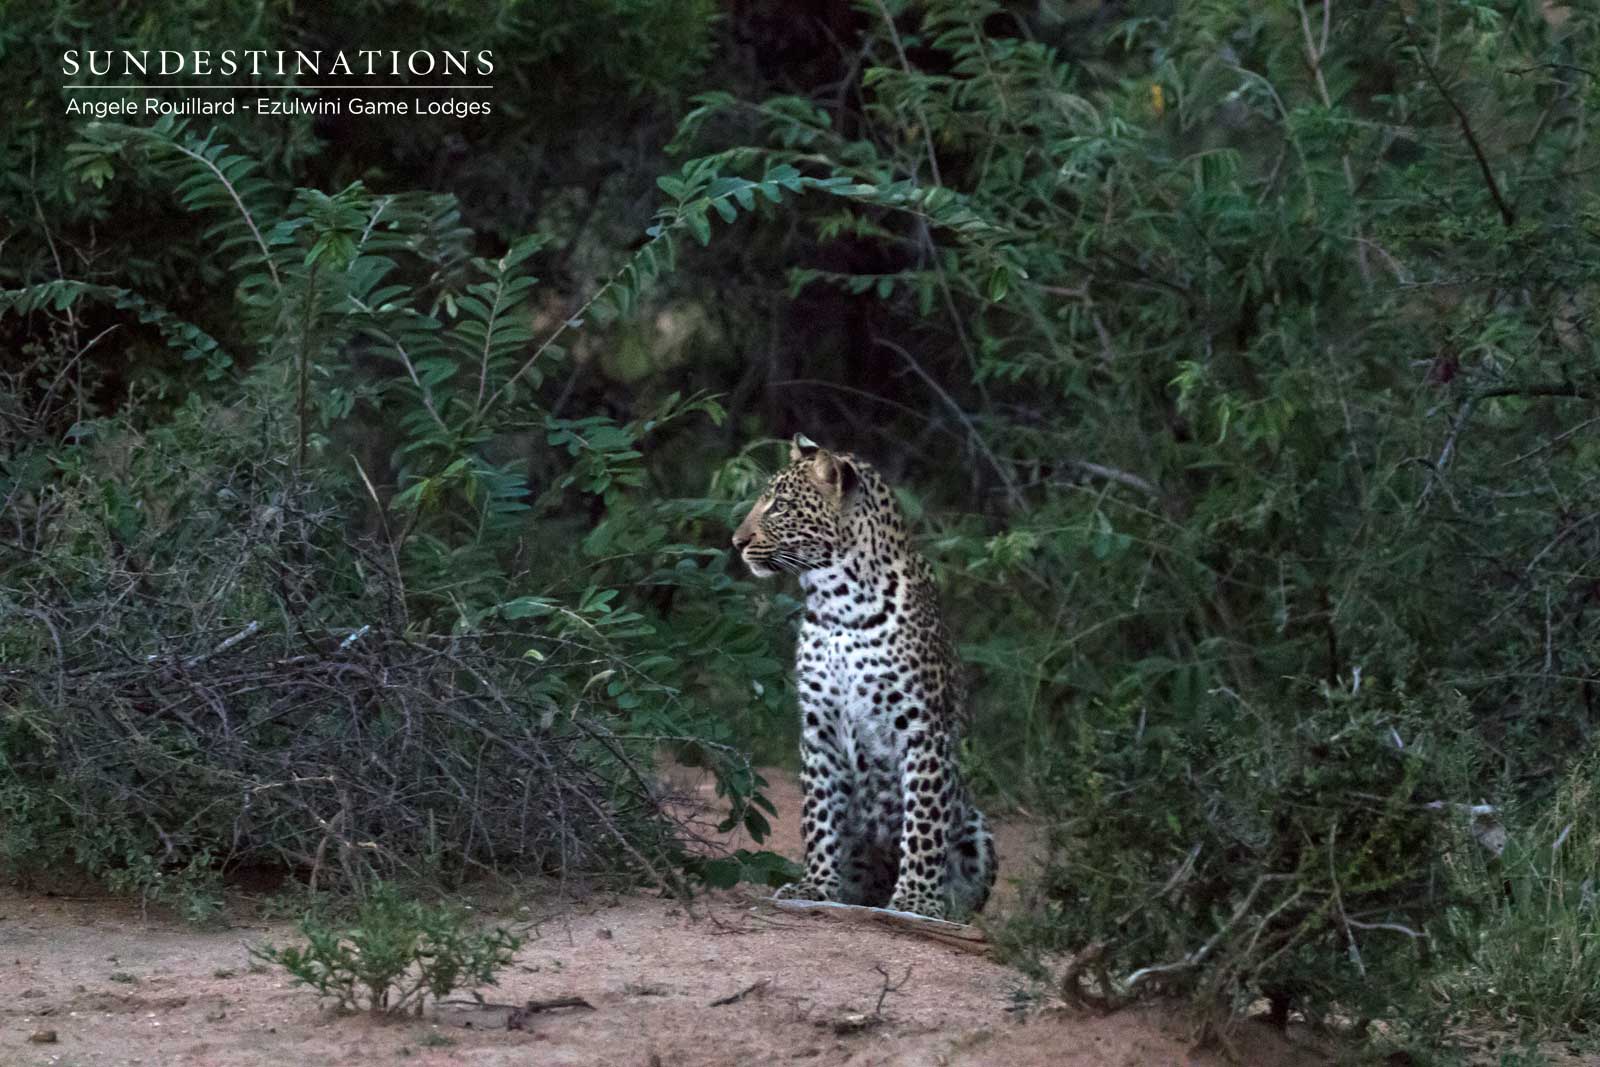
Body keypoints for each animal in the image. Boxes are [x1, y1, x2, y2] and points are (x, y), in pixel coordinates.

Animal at [730, 434, 996, 921]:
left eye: (780, 506)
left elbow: (924, 821)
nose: (737, 542)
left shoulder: (922, 727)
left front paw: (916, 899)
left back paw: (946, 906)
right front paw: (816, 885)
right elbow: (818, 814)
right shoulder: (819, 723)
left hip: (976, 826)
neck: (839, 605)